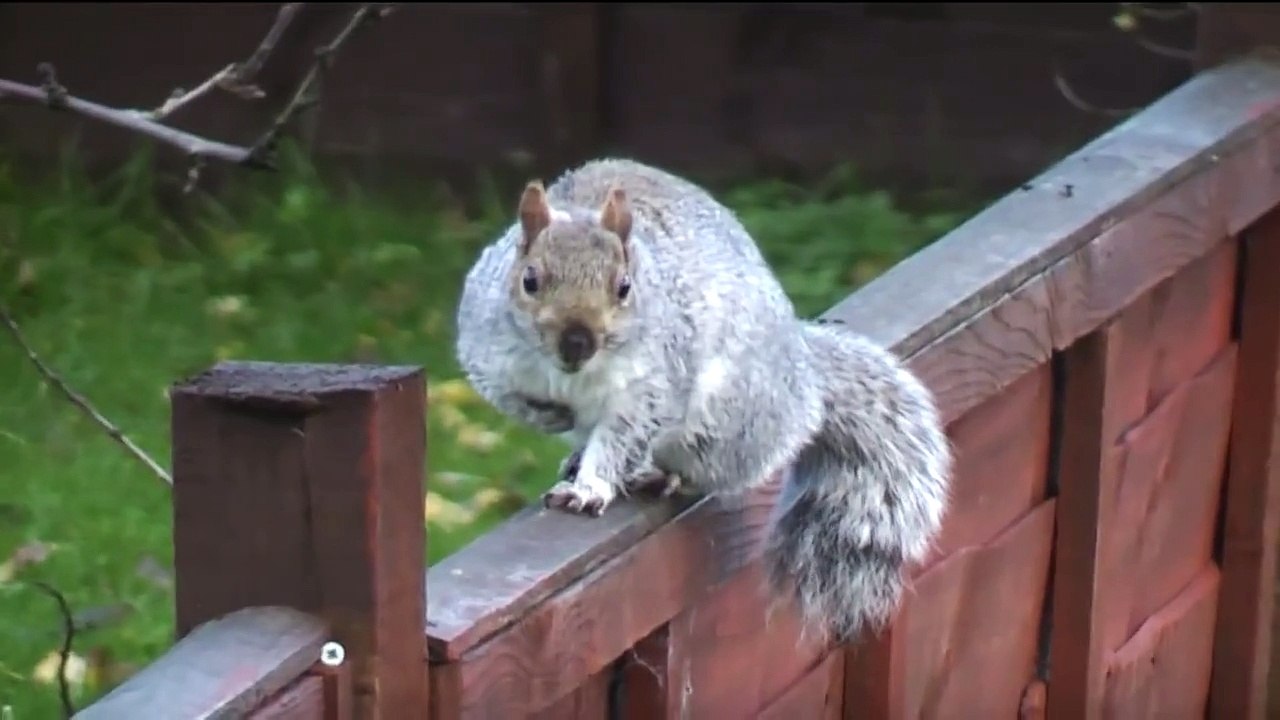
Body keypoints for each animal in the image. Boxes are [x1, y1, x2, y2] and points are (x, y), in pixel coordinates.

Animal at [454, 158, 953, 643]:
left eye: (624, 286)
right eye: (530, 280)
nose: (578, 343)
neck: (568, 376)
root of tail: (802, 383)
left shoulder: (654, 384)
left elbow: (623, 438)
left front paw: (589, 489)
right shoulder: (484, 353)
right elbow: (509, 396)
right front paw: (549, 416)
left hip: (722, 428)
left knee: (705, 471)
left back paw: (657, 473)